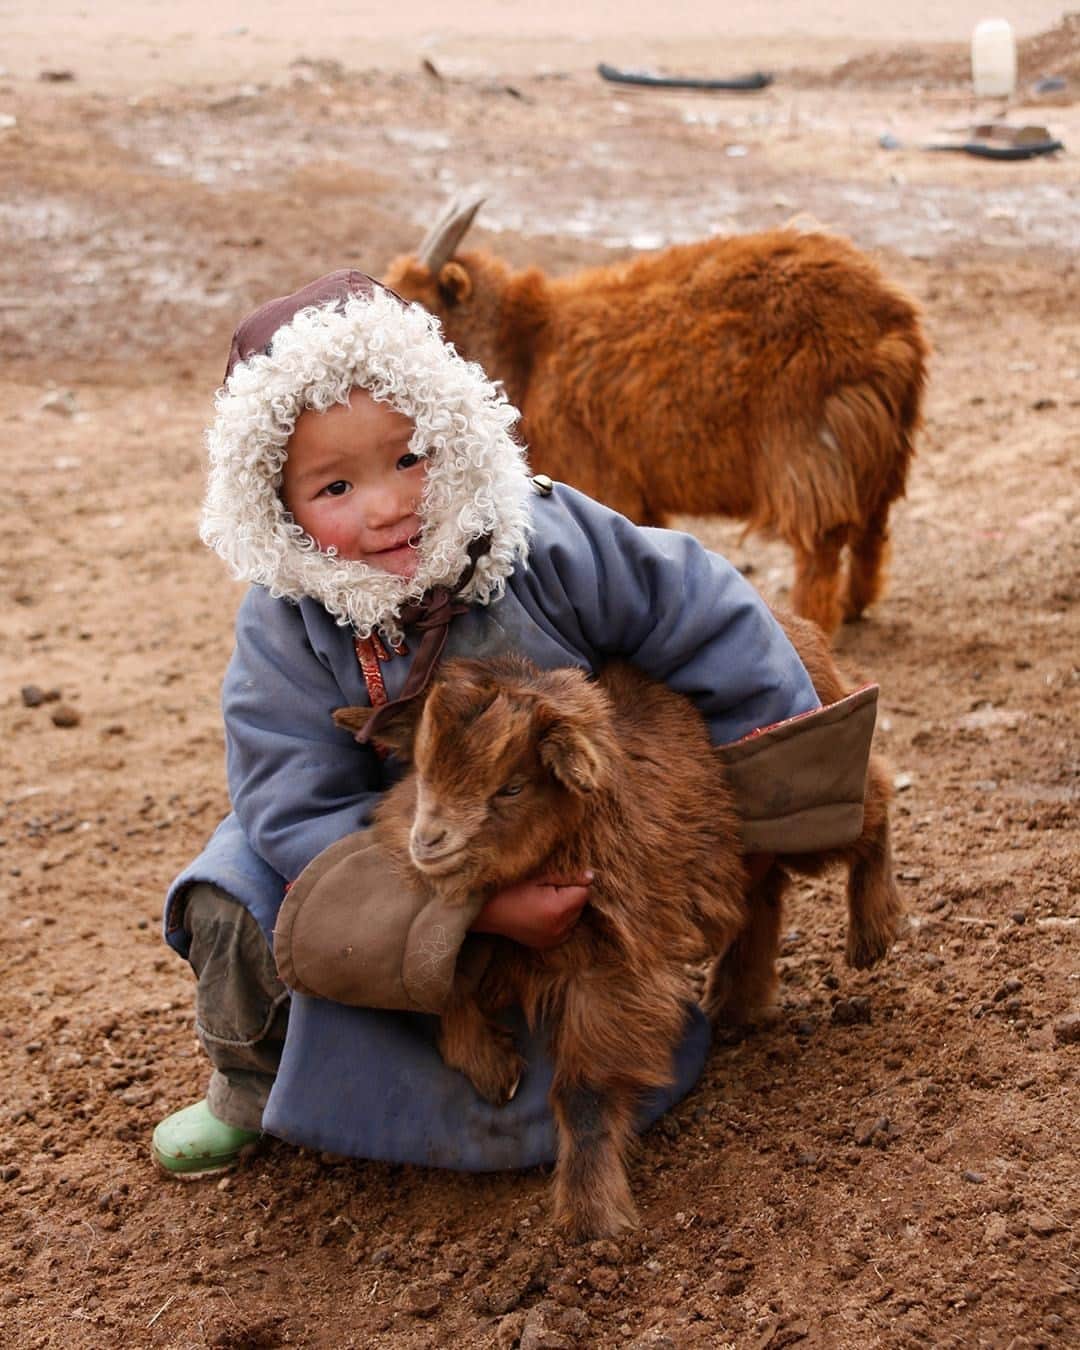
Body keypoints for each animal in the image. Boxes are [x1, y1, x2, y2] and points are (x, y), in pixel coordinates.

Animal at [333, 624, 902, 1239]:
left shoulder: (611, 972)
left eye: (512, 788)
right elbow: (444, 984)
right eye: (420, 767)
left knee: (871, 797)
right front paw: (493, 1069)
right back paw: (735, 1002)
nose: (428, 842)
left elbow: (583, 1093)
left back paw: (872, 932)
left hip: (801, 811)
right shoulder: (481, 931)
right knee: (761, 901)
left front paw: (593, 1215)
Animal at [383, 199, 929, 636]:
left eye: (421, 312)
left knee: (822, 547)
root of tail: (891, 320)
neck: (532, 344)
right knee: (873, 530)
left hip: (811, 453)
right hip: (880, 453)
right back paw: (854, 606)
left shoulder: (608, 481)